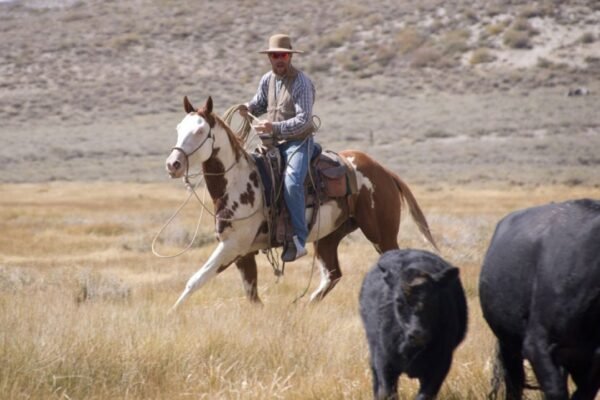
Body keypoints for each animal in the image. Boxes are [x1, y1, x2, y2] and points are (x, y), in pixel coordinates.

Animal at [166, 96, 438, 310]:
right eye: (178, 128)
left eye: (200, 131)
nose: (173, 164)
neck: (238, 181)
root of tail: (385, 172)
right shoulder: (243, 252)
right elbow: (252, 294)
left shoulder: (232, 247)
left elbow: (196, 280)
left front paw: (172, 314)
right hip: (328, 237)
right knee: (332, 274)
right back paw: (304, 306)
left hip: (382, 235)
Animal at [358, 248, 466, 398]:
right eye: (398, 300)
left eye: (434, 299)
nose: (418, 334)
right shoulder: (384, 362)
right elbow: (387, 392)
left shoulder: (440, 366)